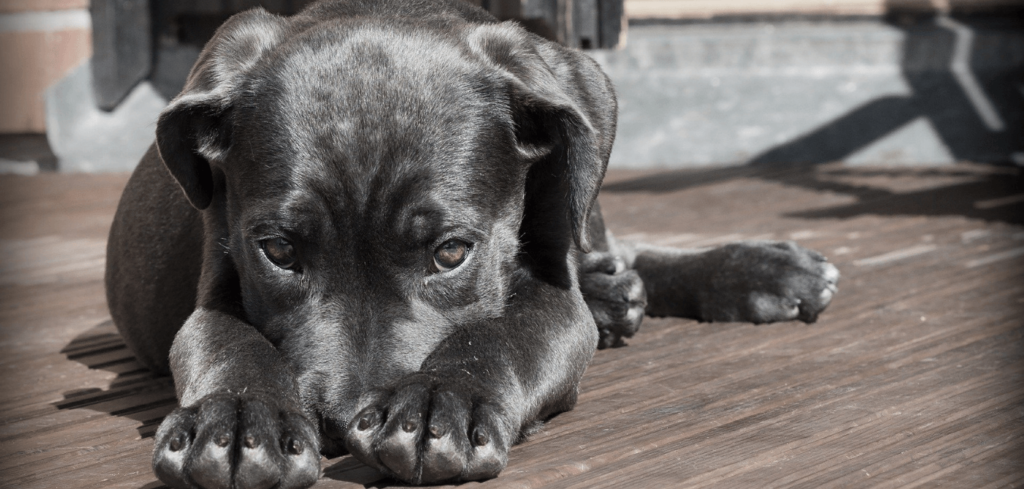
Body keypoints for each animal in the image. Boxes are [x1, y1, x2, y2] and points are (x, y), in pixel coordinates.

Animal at [103, 1, 839, 486]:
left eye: (451, 253)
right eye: (279, 252)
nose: (341, 422)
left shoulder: (551, 295)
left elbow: (503, 334)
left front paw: (439, 402)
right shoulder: (217, 279)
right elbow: (227, 341)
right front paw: (236, 418)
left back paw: (757, 270)